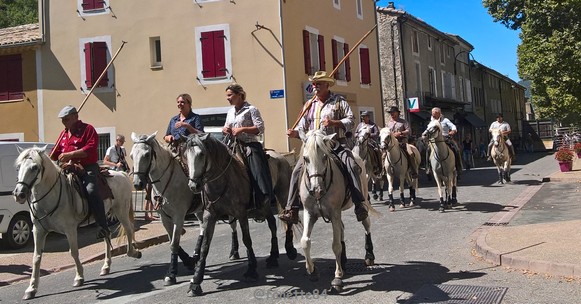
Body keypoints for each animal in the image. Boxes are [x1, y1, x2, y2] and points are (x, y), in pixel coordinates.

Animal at [12, 146, 140, 300]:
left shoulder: (70, 229)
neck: (52, 195)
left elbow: (73, 252)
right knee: (107, 235)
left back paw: (133, 252)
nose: (19, 194)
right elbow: (36, 257)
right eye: (18, 167)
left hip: (121, 211)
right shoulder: (38, 230)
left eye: (34, 167)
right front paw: (31, 289)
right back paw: (106, 266)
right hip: (103, 216)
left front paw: (79, 277)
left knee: (129, 229)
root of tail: (121, 173)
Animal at [300, 130, 376, 292]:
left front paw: (338, 277)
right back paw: (344, 261)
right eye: (305, 158)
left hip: (363, 202)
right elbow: (305, 242)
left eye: (324, 157)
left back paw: (369, 256)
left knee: (366, 224)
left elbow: (335, 245)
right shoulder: (309, 213)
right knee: (341, 229)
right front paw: (312, 270)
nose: (316, 190)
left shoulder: (334, 213)